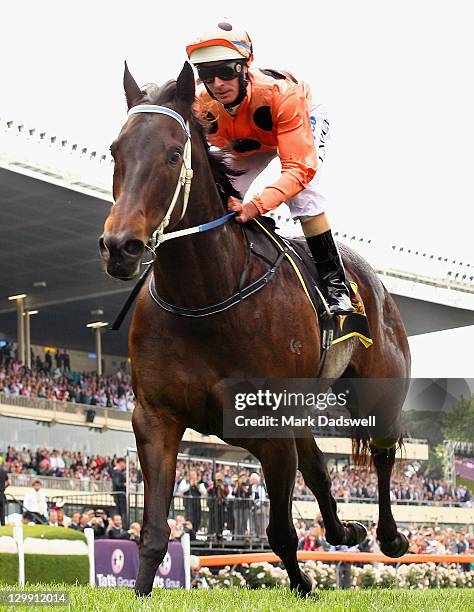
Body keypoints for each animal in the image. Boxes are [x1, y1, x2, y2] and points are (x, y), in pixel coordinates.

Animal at [99, 63, 412, 596]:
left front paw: (304, 586)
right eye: (117, 149)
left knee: (384, 451)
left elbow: (282, 530)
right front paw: (140, 590)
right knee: (319, 464)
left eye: (174, 153)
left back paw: (389, 537)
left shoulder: (269, 429)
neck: (205, 297)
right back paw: (343, 529)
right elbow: (155, 529)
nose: (121, 246)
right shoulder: (155, 417)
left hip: (381, 388)